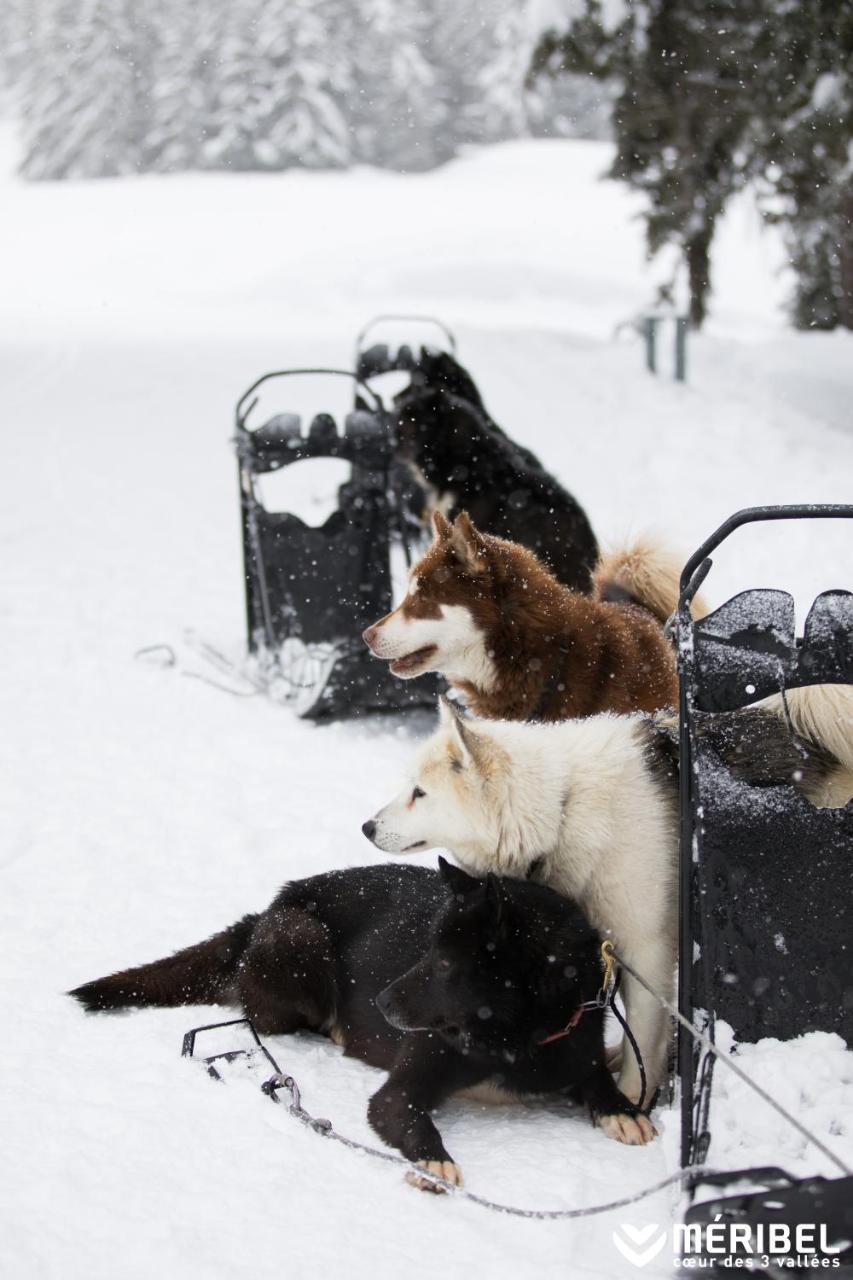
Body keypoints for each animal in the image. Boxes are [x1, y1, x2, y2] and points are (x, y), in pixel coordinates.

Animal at [71, 860, 650, 1187]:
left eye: (445, 963)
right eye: (429, 950)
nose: (381, 1002)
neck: (511, 1039)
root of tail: (267, 910)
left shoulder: (575, 1041)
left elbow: (596, 1078)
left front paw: (621, 1110)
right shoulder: (401, 1091)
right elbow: (413, 1120)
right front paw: (433, 1163)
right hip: (301, 938)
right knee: (267, 1017)